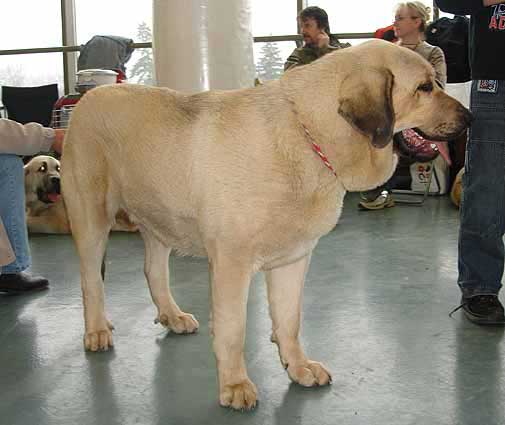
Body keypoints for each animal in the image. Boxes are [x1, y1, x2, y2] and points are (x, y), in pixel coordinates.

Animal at [61, 40, 470, 410]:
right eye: (424, 88)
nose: (470, 118)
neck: (308, 134)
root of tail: (89, 97)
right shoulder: (231, 264)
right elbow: (233, 330)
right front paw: (235, 385)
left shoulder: (293, 260)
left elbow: (289, 320)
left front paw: (298, 366)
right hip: (92, 219)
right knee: (90, 281)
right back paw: (97, 330)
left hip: (159, 217)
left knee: (153, 270)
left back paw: (172, 315)